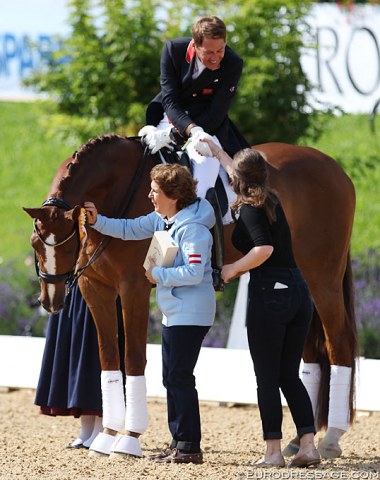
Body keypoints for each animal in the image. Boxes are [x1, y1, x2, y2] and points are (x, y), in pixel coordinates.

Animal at [23, 133, 356, 460]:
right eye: (35, 244)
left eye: (68, 244)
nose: (51, 301)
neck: (118, 189)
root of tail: (335, 169)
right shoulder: (95, 289)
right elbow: (109, 361)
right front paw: (106, 436)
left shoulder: (133, 288)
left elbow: (133, 359)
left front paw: (128, 440)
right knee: (309, 354)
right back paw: (299, 442)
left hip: (322, 277)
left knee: (338, 343)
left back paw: (330, 439)